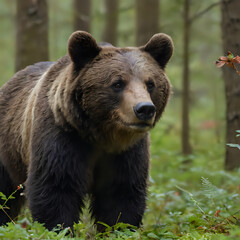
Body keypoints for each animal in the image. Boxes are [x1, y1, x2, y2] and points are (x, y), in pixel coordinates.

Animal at [0, 31, 172, 230]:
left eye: (150, 83)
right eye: (117, 83)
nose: (144, 109)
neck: (102, 135)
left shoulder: (128, 151)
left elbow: (121, 195)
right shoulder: (62, 138)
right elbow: (55, 188)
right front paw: (60, 228)